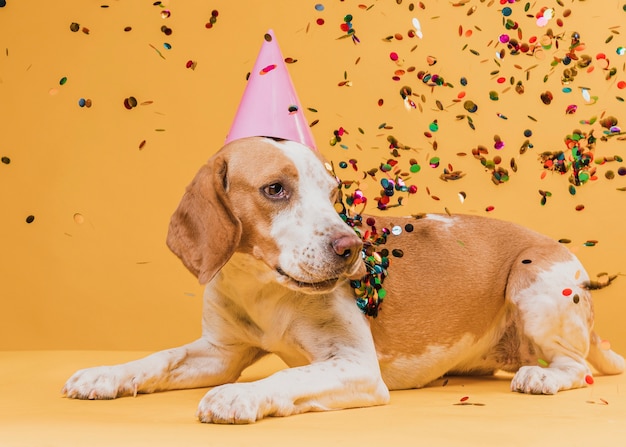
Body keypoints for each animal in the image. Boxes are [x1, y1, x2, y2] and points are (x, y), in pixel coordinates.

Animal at [62, 136, 620, 424]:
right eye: (275, 189)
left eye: (334, 194)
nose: (350, 249)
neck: (264, 288)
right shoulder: (217, 353)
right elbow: (156, 359)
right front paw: (103, 375)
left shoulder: (354, 366)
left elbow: (284, 378)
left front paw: (239, 396)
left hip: (534, 287)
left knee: (575, 367)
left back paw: (544, 377)